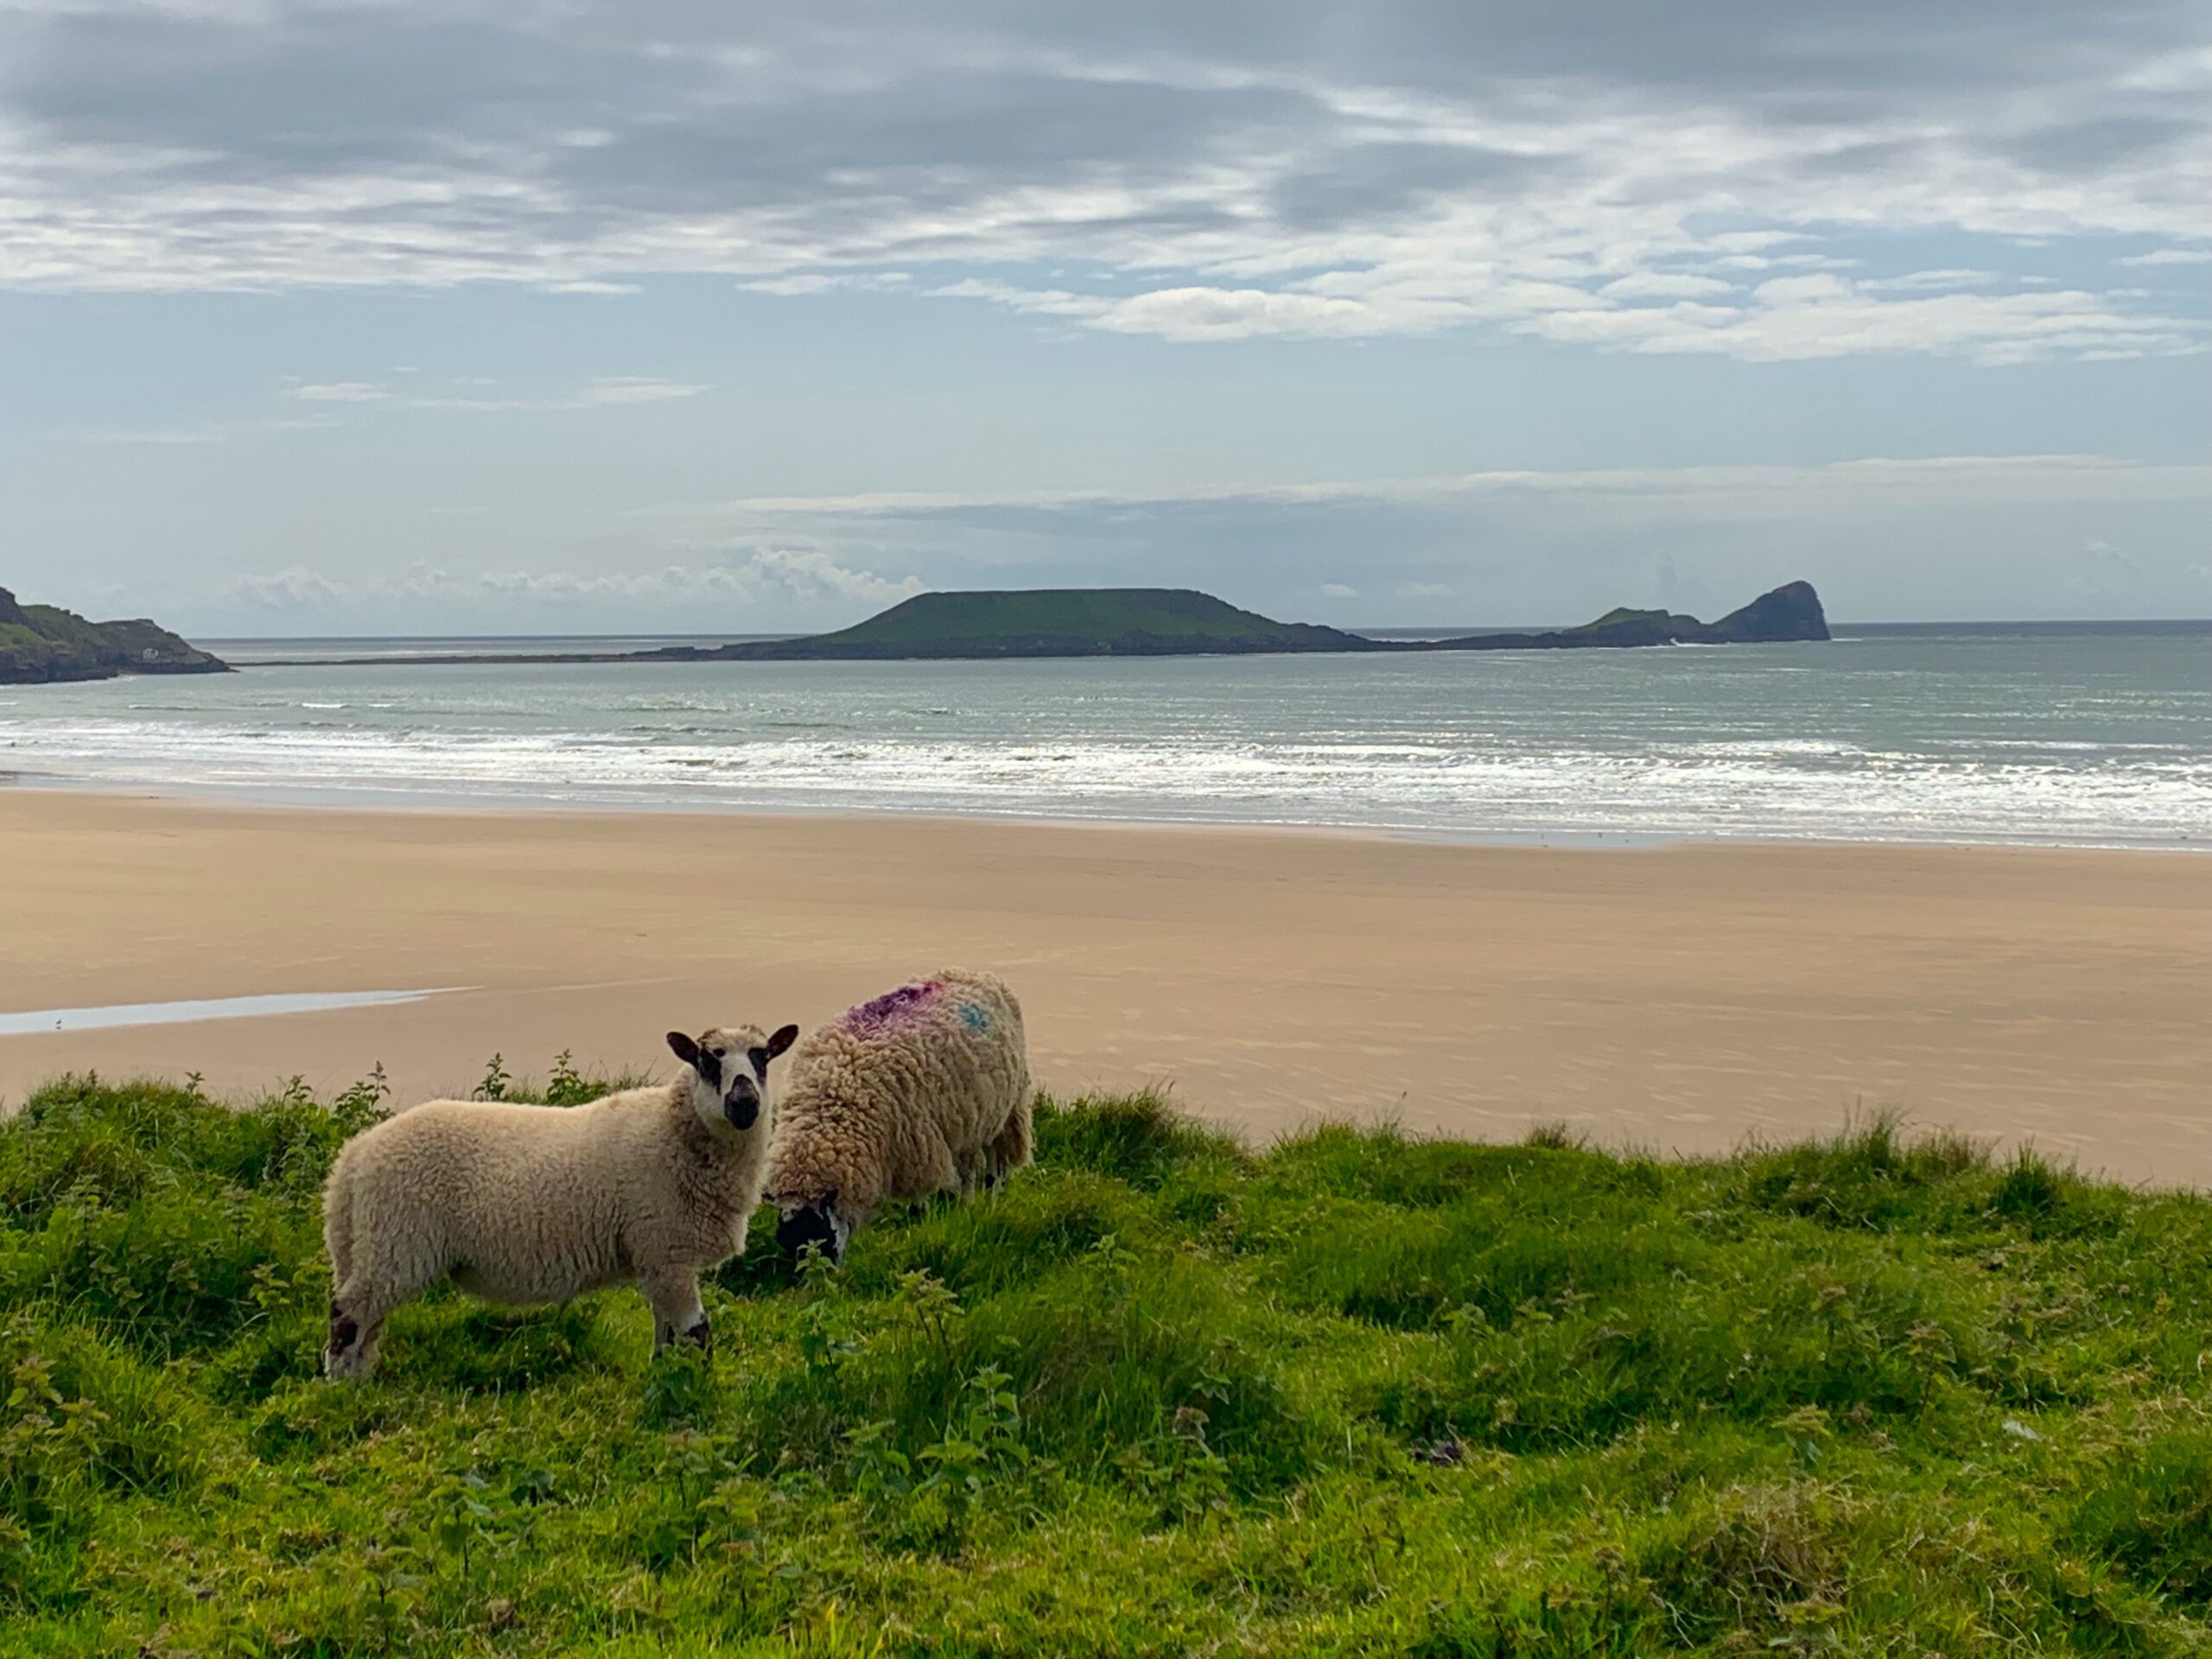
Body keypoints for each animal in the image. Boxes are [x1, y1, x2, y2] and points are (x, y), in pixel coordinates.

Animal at [311, 1021, 796, 1380]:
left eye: (763, 1057)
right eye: (705, 1059)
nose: (745, 1102)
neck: (672, 1132)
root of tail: (353, 1159)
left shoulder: (656, 1259)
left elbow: (667, 1334)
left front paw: (665, 1376)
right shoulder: (666, 1250)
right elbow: (696, 1333)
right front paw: (694, 1386)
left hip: (368, 1248)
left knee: (367, 1324)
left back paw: (363, 1380)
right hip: (397, 1243)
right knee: (347, 1314)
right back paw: (340, 1388)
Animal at [765, 969, 1030, 1265]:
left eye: (822, 1236)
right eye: (790, 1246)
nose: (827, 1277)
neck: (830, 1108)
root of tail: (975, 972)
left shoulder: (917, 1153)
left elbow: (918, 1208)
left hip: (1007, 1110)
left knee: (995, 1169)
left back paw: (986, 1204)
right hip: (968, 1120)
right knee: (969, 1168)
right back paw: (968, 1205)